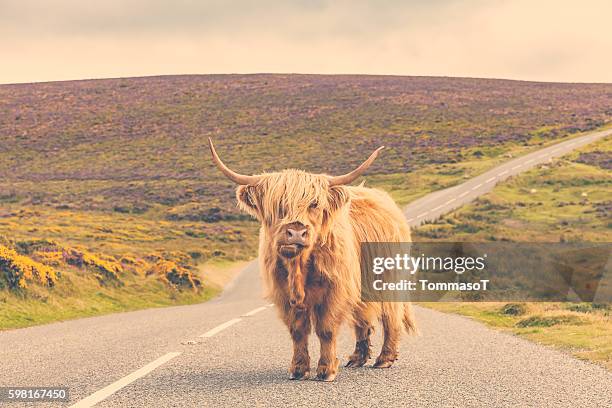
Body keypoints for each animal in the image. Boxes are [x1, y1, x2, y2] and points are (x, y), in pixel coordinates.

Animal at [209, 139, 416, 380]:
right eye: (278, 204)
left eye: (314, 203)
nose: (296, 232)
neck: (298, 268)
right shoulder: (284, 293)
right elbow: (298, 331)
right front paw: (298, 369)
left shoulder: (335, 289)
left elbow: (326, 329)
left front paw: (326, 370)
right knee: (361, 318)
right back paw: (357, 358)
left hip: (389, 278)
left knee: (391, 315)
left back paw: (385, 359)